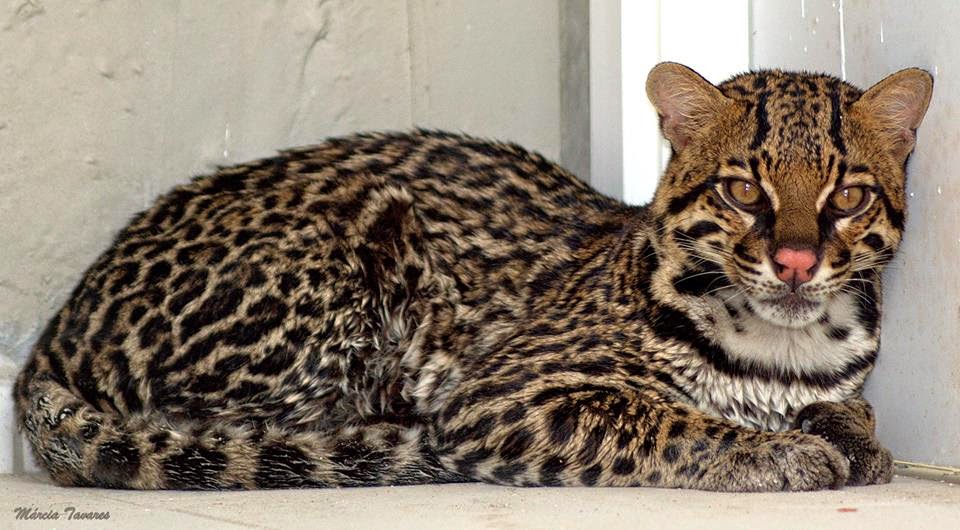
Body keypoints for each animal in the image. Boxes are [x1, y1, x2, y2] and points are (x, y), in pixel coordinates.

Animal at [14, 62, 933, 491]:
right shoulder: (505, 393)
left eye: (848, 195)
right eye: (744, 190)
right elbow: (664, 419)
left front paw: (850, 434)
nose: (796, 261)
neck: (785, 349)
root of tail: (55, 335)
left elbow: (851, 409)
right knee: (212, 430)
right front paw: (777, 450)